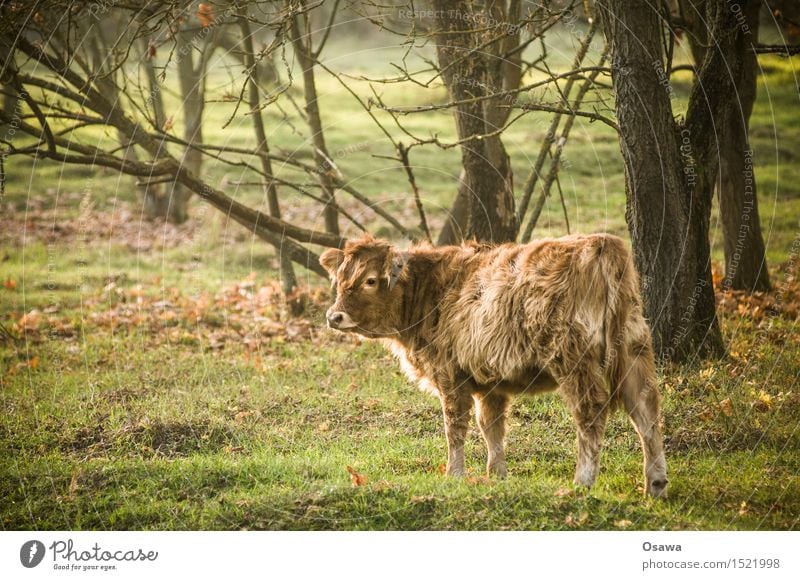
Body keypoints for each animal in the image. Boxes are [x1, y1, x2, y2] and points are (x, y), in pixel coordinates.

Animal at [320, 233, 668, 496]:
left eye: (370, 280)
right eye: (339, 279)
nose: (334, 316)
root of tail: (601, 243)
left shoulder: (450, 376)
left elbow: (455, 427)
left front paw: (454, 474)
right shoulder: (491, 384)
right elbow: (491, 427)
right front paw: (497, 475)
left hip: (574, 361)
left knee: (591, 413)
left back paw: (582, 482)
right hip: (634, 351)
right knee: (645, 411)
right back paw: (655, 484)